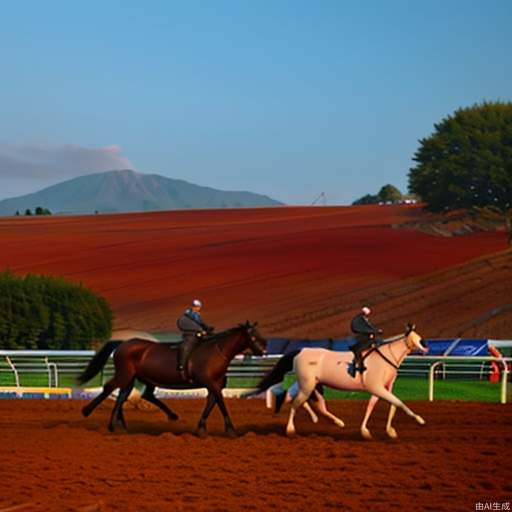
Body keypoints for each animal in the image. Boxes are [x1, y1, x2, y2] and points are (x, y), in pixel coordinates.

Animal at [79, 320, 268, 436]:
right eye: (253, 335)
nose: (264, 351)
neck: (216, 351)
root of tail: (124, 343)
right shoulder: (212, 384)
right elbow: (220, 403)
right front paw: (230, 429)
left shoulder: (214, 386)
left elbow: (211, 404)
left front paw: (201, 428)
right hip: (125, 375)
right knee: (110, 388)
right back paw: (93, 414)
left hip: (138, 378)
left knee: (129, 396)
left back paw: (125, 425)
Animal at [248, 326, 428, 438]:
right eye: (416, 338)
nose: (426, 348)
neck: (385, 357)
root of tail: (301, 350)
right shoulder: (376, 387)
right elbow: (398, 403)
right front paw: (419, 420)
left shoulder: (383, 388)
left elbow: (385, 406)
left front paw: (382, 431)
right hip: (307, 385)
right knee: (296, 403)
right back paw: (291, 429)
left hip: (309, 385)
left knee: (303, 402)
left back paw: (337, 422)